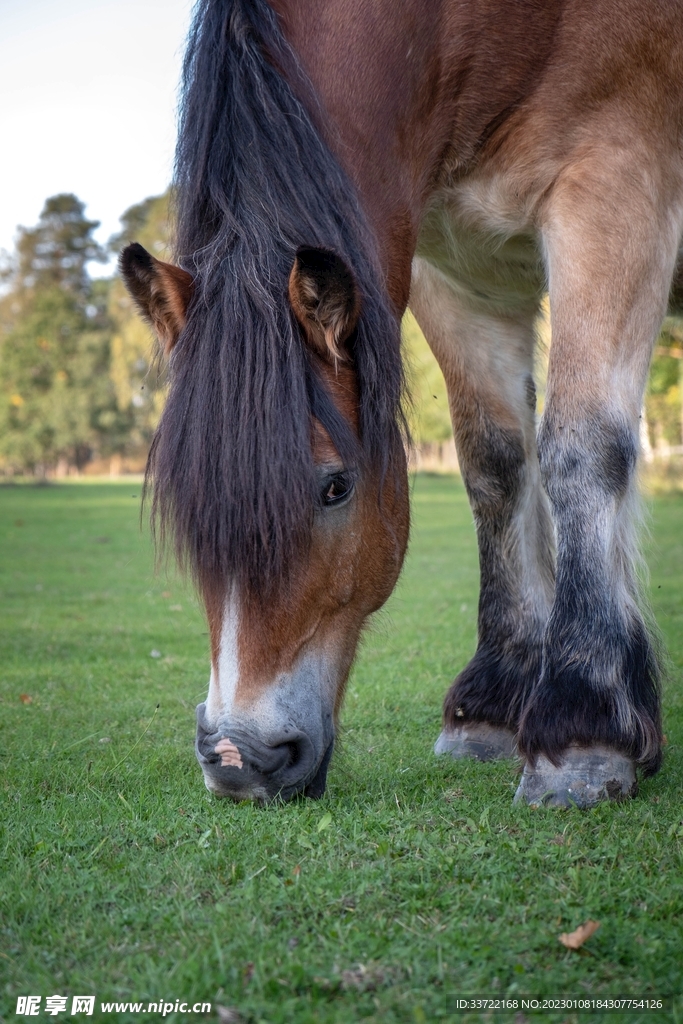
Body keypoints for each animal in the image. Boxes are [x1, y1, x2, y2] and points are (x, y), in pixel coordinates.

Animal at [121, 0, 683, 806]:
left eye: (335, 487)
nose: (237, 759)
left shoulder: (615, 193)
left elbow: (579, 449)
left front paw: (584, 728)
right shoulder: (459, 273)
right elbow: (494, 465)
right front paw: (490, 707)